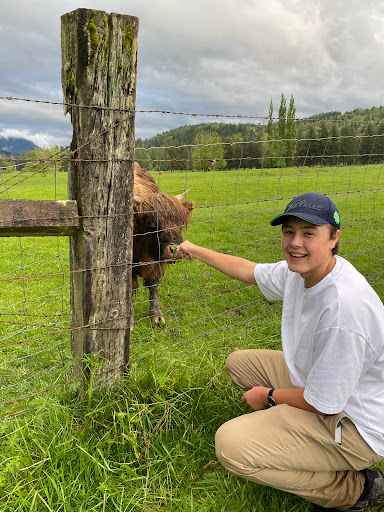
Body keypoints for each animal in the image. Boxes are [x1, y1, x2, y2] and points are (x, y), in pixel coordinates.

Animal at [132, 165, 194, 332]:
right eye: (151, 222)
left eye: (181, 221)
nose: (176, 251)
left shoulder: (156, 263)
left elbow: (153, 285)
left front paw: (157, 315)